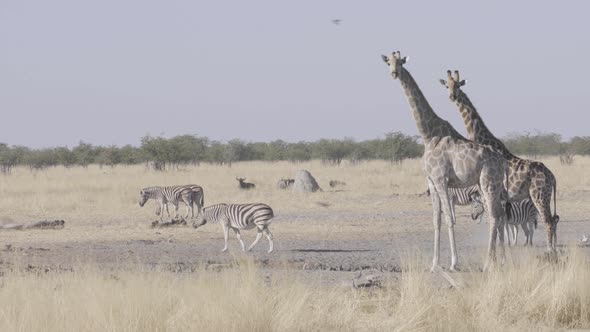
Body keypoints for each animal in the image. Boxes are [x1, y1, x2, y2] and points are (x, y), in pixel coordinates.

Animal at [382, 50, 512, 272]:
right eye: (389, 62)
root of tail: (502, 160)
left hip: (488, 182)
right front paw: (434, 263)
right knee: (498, 215)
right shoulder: (431, 182)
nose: (394, 73)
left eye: (400, 62)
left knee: (495, 216)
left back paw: (488, 263)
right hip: (484, 184)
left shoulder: (441, 179)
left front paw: (453, 263)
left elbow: (450, 218)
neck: (428, 135)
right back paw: (498, 261)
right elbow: (436, 220)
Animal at [442, 70, 560, 252]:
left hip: (539, 195)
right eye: (447, 86)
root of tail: (552, 177)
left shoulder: (486, 192)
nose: (452, 96)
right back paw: (554, 249)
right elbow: (499, 222)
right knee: (554, 220)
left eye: (458, 85)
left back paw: (549, 250)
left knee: (548, 221)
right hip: (545, 196)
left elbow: (495, 221)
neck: (484, 140)